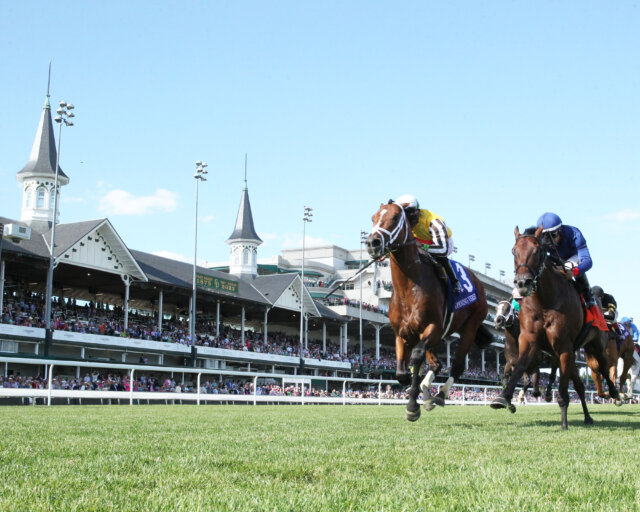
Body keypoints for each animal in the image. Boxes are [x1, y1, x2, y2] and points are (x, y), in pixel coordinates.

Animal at [364, 200, 496, 420]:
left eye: (395, 218)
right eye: (373, 217)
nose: (372, 243)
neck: (409, 288)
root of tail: (478, 283)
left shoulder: (432, 326)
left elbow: (416, 358)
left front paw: (412, 406)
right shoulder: (402, 333)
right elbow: (402, 373)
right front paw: (414, 392)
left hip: (470, 326)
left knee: (457, 365)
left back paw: (440, 395)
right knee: (436, 365)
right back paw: (427, 394)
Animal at [490, 226, 620, 430]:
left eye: (538, 251)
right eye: (513, 251)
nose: (522, 283)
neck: (545, 301)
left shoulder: (564, 346)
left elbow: (563, 389)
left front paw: (564, 423)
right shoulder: (529, 341)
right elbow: (519, 369)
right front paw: (504, 398)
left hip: (595, 343)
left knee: (603, 367)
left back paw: (614, 393)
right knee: (579, 386)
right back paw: (587, 416)